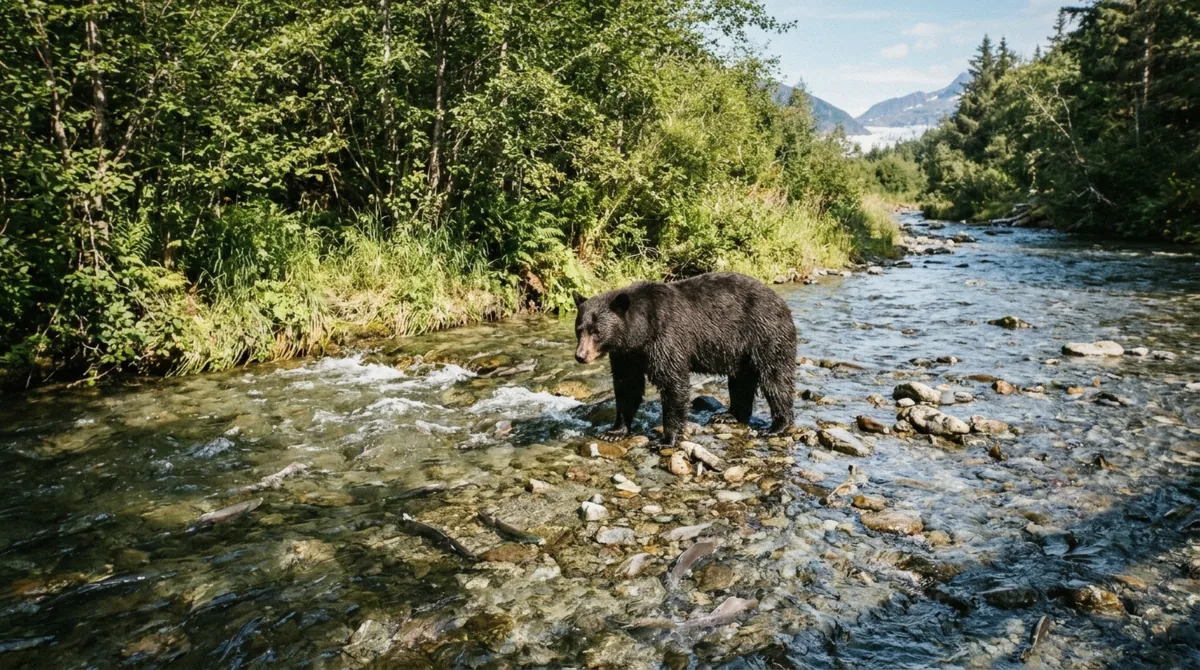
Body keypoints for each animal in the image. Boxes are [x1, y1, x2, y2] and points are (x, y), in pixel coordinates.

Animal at [573, 271, 796, 446]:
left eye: (596, 332)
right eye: (579, 329)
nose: (580, 356)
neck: (639, 332)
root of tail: (781, 302)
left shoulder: (665, 337)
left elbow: (673, 383)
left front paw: (667, 439)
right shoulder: (626, 354)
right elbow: (627, 386)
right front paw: (613, 432)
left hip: (765, 334)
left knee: (775, 379)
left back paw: (777, 426)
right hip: (741, 352)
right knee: (741, 382)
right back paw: (728, 416)